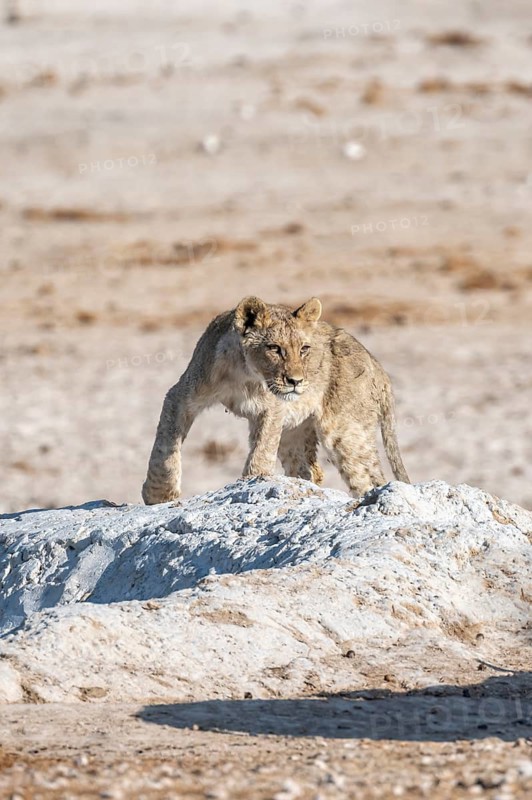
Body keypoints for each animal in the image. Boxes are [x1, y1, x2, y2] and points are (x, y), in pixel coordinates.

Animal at [142, 296, 409, 504]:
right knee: (309, 470)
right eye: (274, 348)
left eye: (304, 349)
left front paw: (249, 485)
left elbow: (260, 454)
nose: (296, 381)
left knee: (371, 477)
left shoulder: (273, 410)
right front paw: (159, 495)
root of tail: (378, 367)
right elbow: (165, 447)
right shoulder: (181, 395)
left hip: (344, 430)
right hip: (295, 432)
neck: (245, 373)